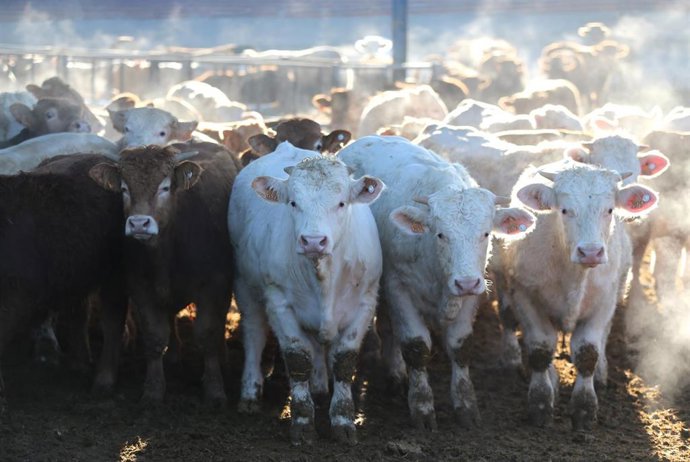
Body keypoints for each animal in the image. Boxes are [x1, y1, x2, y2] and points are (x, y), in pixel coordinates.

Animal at [0, 154, 127, 415]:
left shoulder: (12, 296)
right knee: (78, 314)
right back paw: (79, 364)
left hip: (115, 273)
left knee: (113, 320)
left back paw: (104, 380)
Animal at [89, 142, 239, 405]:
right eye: (124, 188)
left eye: (165, 187)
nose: (139, 223)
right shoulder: (141, 286)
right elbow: (154, 336)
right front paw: (153, 389)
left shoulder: (214, 285)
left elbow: (208, 334)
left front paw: (215, 389)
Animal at [229, 142, 384, 445]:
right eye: (293, 203)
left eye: (341, 203)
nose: (313, 241)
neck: (323, 277)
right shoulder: (279, 302)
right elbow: (297, 357)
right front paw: (302, 421)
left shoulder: (365, 302)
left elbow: (344, 360)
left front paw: (342, 419)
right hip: (244, 283)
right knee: (254, 333)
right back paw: (251, 392)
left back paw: (320, 386)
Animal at [339, 136, 535, 430]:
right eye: (441, 234)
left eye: (485, 233)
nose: (466, 282)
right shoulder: (399, 288)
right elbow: (415, 346)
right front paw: (421, 407)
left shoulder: (471, 296)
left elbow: (460, 346)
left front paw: (466, 406)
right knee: (388, 330)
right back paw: (395, 376)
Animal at [503, 162, 658, 429]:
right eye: (565, 210)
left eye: (609, 209)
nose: (591, 252)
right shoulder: (524, 296)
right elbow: (540, 350)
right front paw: (541, 403)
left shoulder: (604, 302)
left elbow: (588, 353)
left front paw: (584, 409)